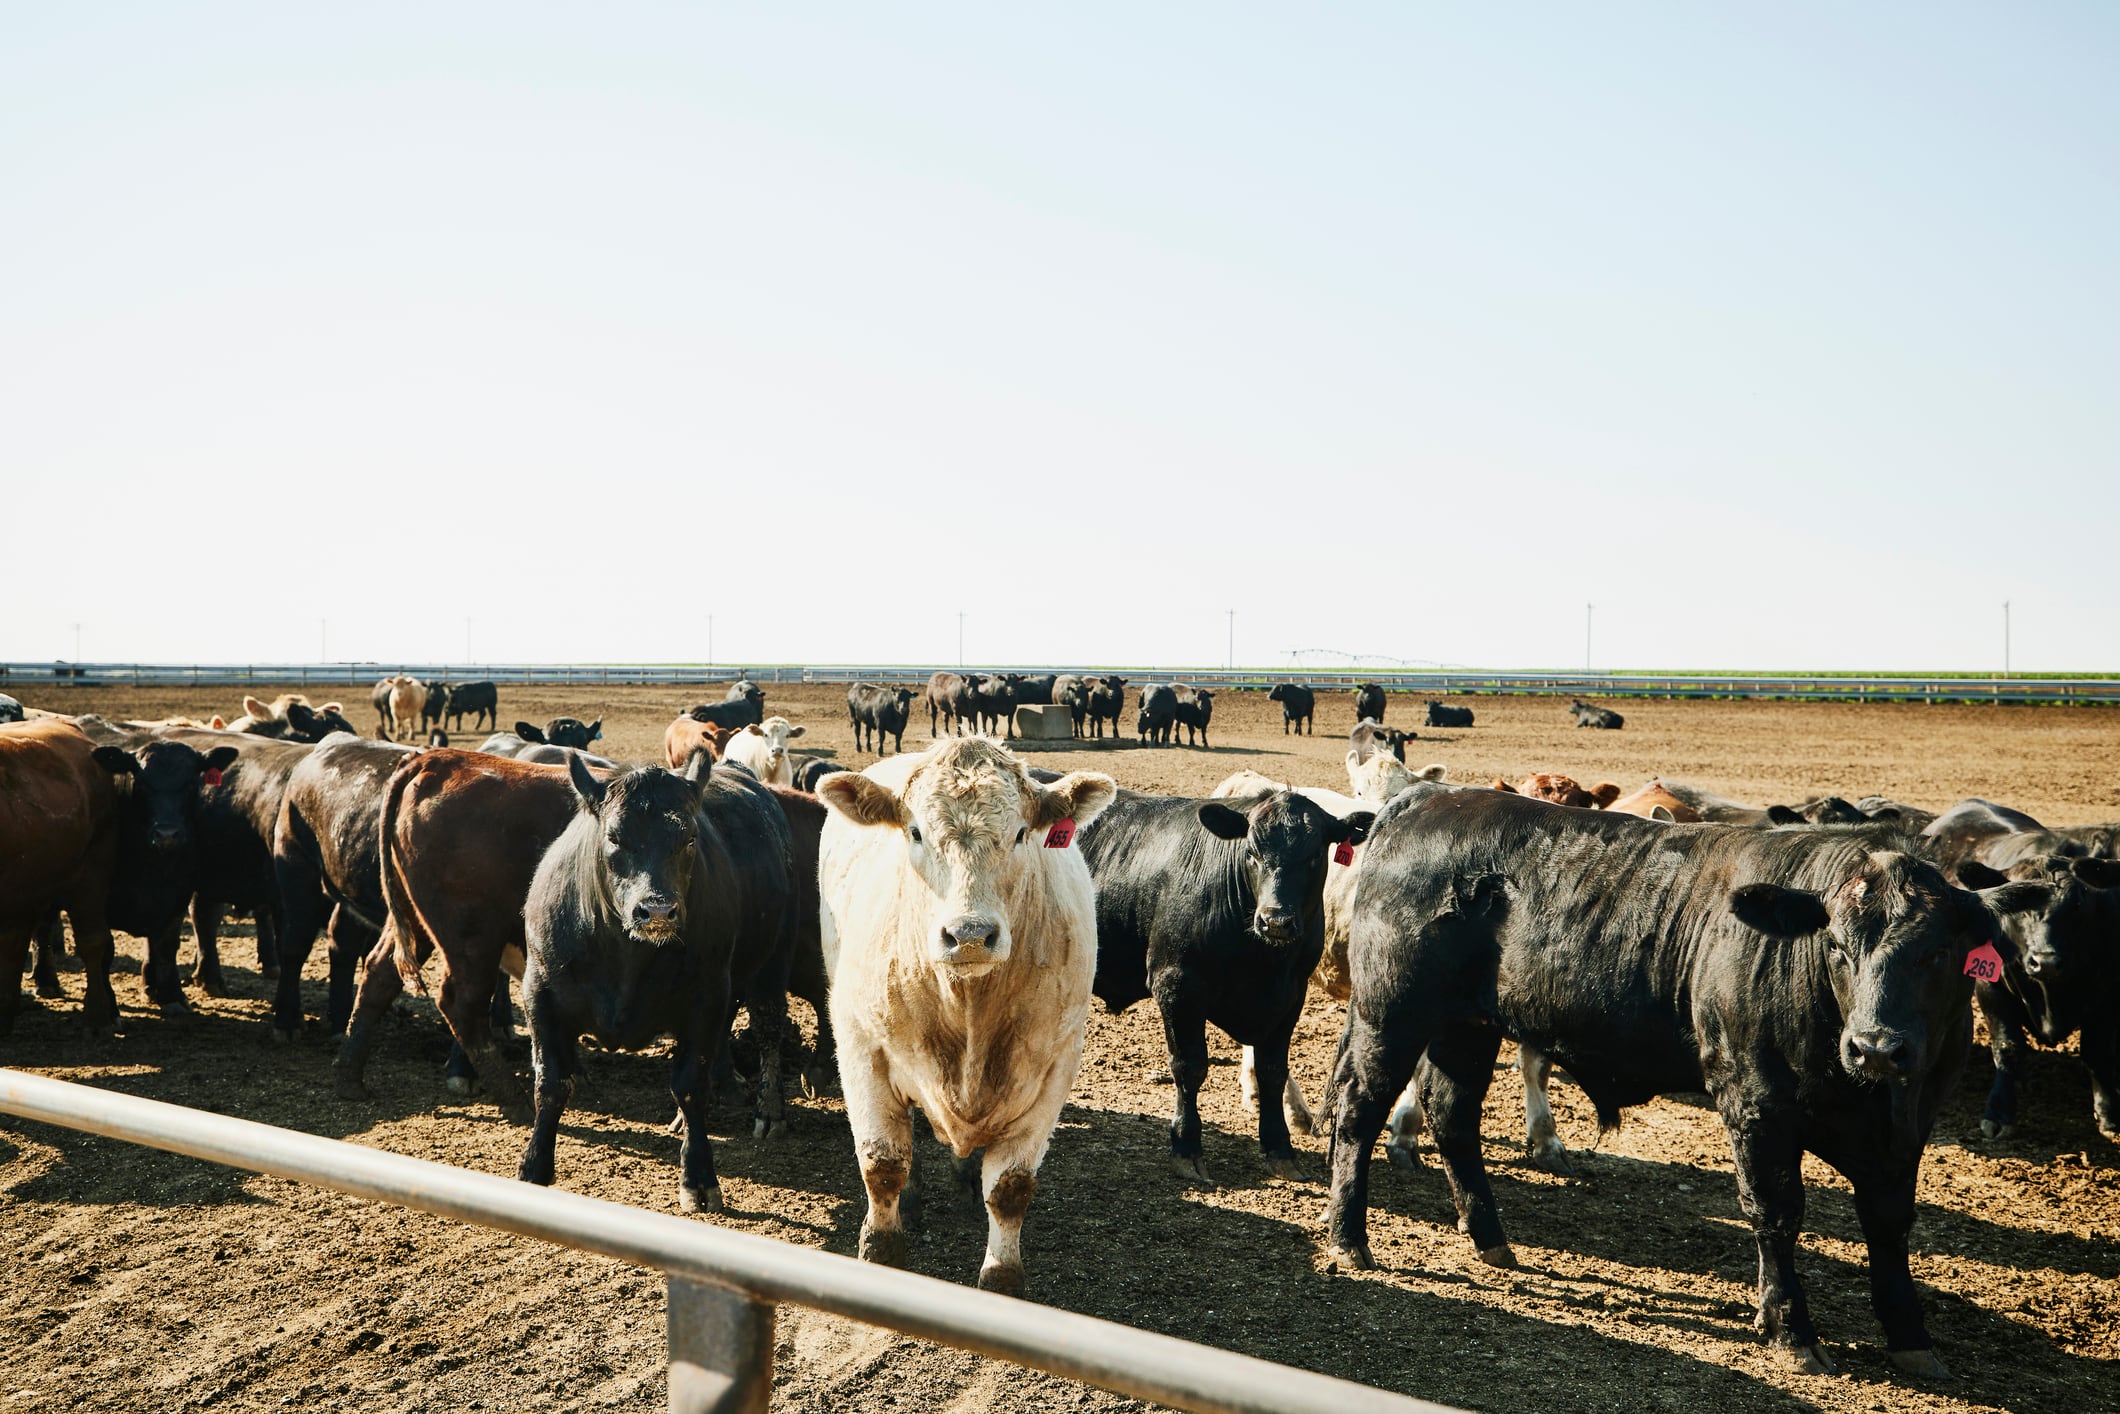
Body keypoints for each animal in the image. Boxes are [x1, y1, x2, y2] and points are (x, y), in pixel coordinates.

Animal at [516, 753, 797, 1213]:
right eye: (614, 838)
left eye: (689, 837)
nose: (658, 910)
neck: (624, 958)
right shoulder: (539, 993)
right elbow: (551, 1083)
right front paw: (534, 1168)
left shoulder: (704, 997)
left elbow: (690, 1084)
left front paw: (698, 1177)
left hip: (772, 961)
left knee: (768, 1029)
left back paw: (769, 1113)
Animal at [814, 738, 1116, 1293]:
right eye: (914, 832)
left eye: (1020, 833)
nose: (970, 934)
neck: (970, 1011)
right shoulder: (861, 1046)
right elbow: (883, 1166)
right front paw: (881, 1250)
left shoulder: (1054, 1068)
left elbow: (1012, 1188)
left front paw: (1001, 1278)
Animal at [1084, 789, 1373, 1184]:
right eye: (1251, 852)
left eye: (1315, 855)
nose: (1275, 920)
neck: (1261, 961)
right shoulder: (1176, 985)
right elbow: (1189, 1066)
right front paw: (1186, 1146)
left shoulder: (1290, 996)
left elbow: (1272, 1072)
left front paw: (1279, 1148)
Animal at [1326, 784, 1995, 1378]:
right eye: (1835, 945)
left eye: (1939, 952)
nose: (1876, 1047)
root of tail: (1421, 799)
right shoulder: (1756, 1107)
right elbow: (1776, 1213)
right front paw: (1791, 1331)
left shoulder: (1906, 1132)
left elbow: (1889, 1224)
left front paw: (1912, 1339)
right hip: (1391, 1014)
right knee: (1359, 1110)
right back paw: (1348, 1238)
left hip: (1466, 1025)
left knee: (1453, 1114)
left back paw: (1489, 1238)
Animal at [1955, 855, 2120, 1141]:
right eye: (2018, 907)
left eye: (2078, 907)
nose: (2046, 962)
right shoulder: (1989, 986)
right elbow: (2007, 1047)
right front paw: (1999, 1113)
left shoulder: (2106, 993)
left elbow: (2096, 1053)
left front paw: (2108, 1113)